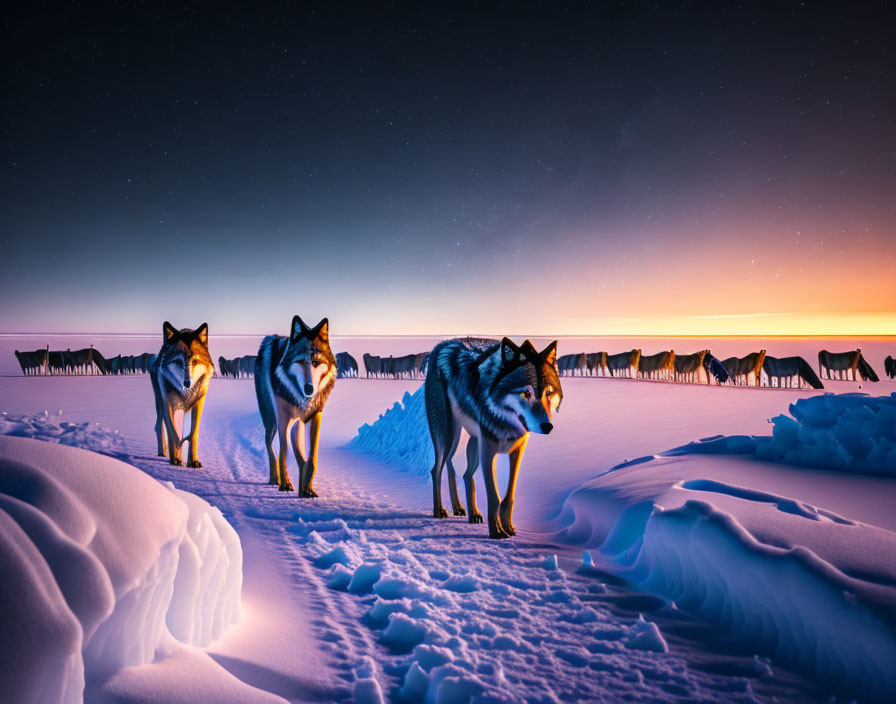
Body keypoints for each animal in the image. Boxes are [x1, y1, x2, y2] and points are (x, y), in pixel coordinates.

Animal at [151, 324, 214, 468]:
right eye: (178, 361)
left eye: (195, 361)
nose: (187, 383)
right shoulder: (167, 403)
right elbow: (173, 433)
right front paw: (176, 460)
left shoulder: (199, 403)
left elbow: (192, 434)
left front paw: (193, 461)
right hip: (160, 403)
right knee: (158, 426)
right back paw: (163, 453)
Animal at [254, 314, 338, 496]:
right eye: (299, 362)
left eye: (315, 362)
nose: (309, 388)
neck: (302, 398)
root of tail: (272, 338)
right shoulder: (283, 418)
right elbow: (283, 452)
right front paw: (285, 483)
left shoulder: (315, 415)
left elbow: (311, 459)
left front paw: (307, 488)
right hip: (272, 420)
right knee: (270, 446)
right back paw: (275, 479)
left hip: (296, 424)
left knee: (300, 455)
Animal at [426, 336, 564, 540]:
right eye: (526, 393)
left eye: (549, 392)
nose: (547, 426)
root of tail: (442, 344)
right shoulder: (489, 449)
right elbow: (494, 497)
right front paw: (497, 532)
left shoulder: (517, 450)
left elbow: (509, 496)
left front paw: (509, 528)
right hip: (448, 435)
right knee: (436, 469)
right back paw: (439, 511)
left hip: (469, 441)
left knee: (463, 473)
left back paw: (467, 511)